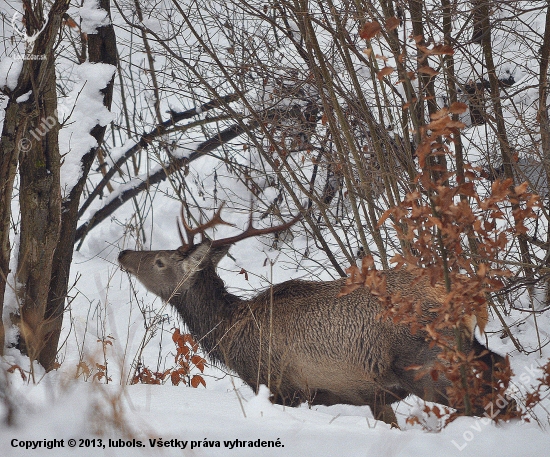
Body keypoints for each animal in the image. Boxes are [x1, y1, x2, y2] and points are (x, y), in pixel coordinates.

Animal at [118, 205, 512, 422]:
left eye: (160, 260)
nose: (123, 254)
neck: (232, 338)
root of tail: (469, 297)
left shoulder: (283, 385)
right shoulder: (372, 395)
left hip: (426, 363)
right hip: (459, 348)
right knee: (499, 365)